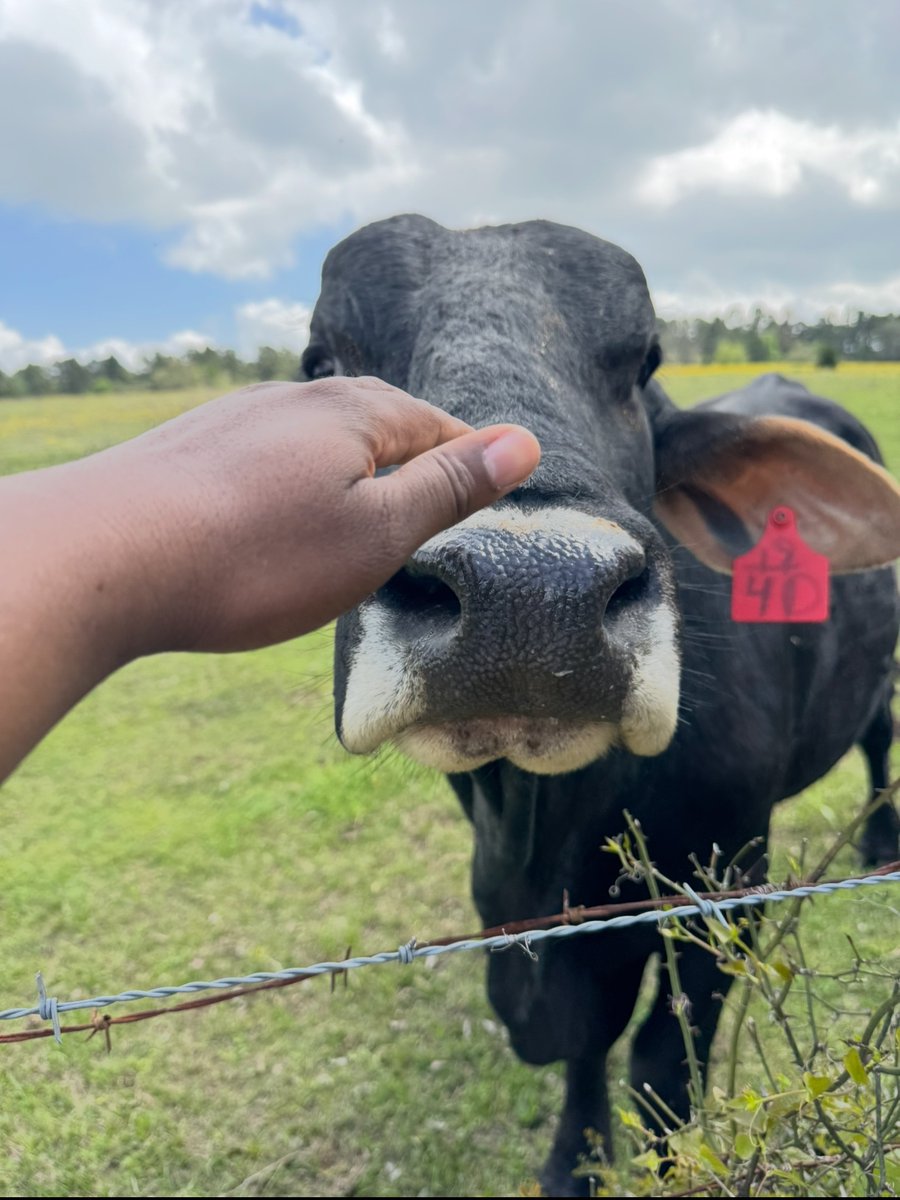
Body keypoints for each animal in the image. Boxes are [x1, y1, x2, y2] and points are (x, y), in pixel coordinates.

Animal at [300, 214, 900, 1195]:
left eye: (643, 360)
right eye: (321, 361)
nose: (529, 595)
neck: (541, 834)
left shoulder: (727, 886)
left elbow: (660, 1064)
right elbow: (590, 1049)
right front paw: (573, 1159)